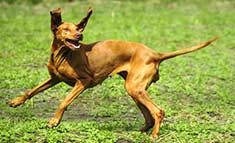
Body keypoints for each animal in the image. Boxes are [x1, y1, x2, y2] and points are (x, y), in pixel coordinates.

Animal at [9, 7, 218, 137]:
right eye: (66, 29)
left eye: (78, 28)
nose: (80, 35)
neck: (63, 54)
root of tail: (155, 53)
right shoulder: (54, 79)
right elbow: (31, 91)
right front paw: (16, 101)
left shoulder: (83, 81)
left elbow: (64, 101)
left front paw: (54, 121)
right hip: (135, 89)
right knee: (149, 115)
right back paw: (142, 130)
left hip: (134, 87)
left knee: (158, 111)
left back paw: (154, 135)